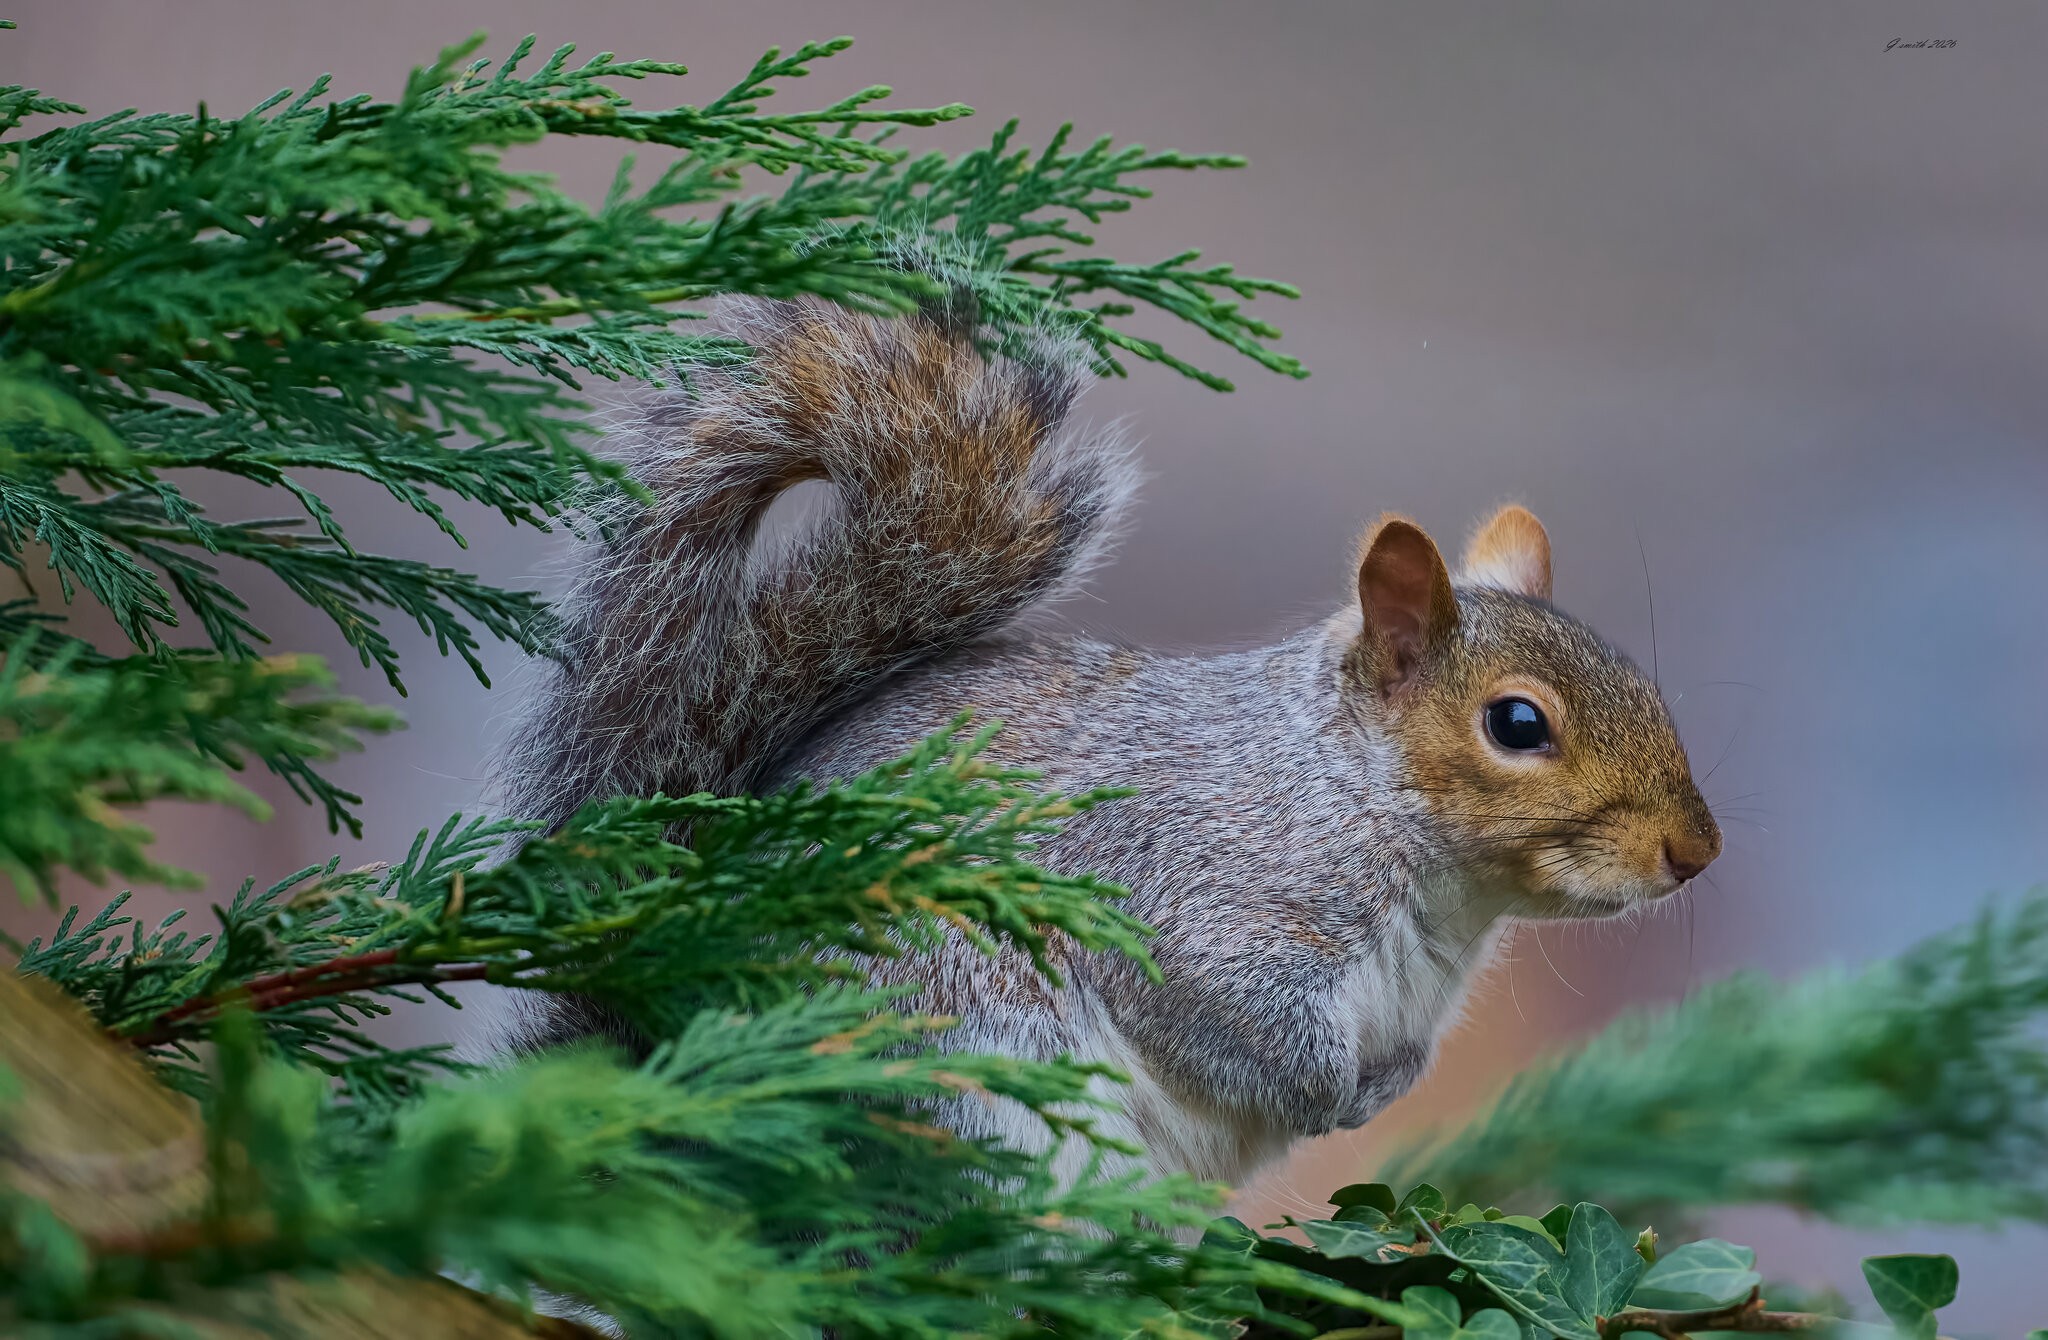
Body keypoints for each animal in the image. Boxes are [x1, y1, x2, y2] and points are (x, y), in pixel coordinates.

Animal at [489, 293, 1722, 1187]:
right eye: (1517, 723)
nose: (1695, 852)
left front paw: (1380, 1087)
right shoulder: (1207, 894)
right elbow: (1228, 1015)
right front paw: (1328, 1095)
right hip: (964, 1072)